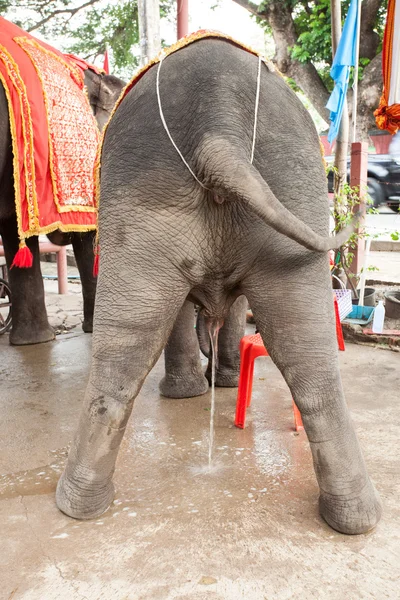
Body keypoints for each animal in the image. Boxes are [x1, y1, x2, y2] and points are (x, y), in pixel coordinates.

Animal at [56, 37, 382, 536]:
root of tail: (218, 133)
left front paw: (212, 382)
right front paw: (210, 383)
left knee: (127, 348)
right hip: (282, 184)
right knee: (305, 351)